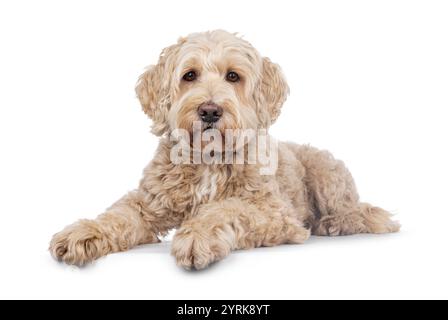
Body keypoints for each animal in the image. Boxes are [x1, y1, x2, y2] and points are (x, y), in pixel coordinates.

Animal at [48, 30, 400, 270]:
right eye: (189, 75)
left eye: (233, 76)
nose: (209, 111)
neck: (209, 161)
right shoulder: (149, 202)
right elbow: (119, 214)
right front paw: (84, 233)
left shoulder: (274, 213)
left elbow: (226, 209)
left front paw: (197, 236)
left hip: (327, 172)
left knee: (360, 212)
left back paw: (336, 223)